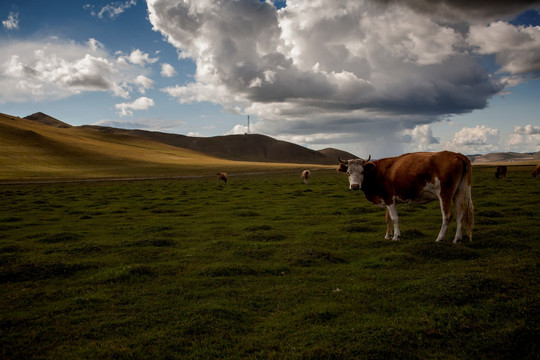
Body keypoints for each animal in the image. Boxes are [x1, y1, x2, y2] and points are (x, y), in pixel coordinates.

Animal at [340, 150, 474, 243]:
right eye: (348, 173)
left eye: (362, 172)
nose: (354, 186)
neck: (377, 172)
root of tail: (457, 155)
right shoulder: (386, 198)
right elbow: (387, 218)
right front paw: (387, 235)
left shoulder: (389, 198)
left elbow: (394, 218)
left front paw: (396, 236)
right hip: (458, 192)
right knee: (460, 214)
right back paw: (457, 239)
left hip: (445, 193)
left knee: (447, 215)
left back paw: (439, 238)